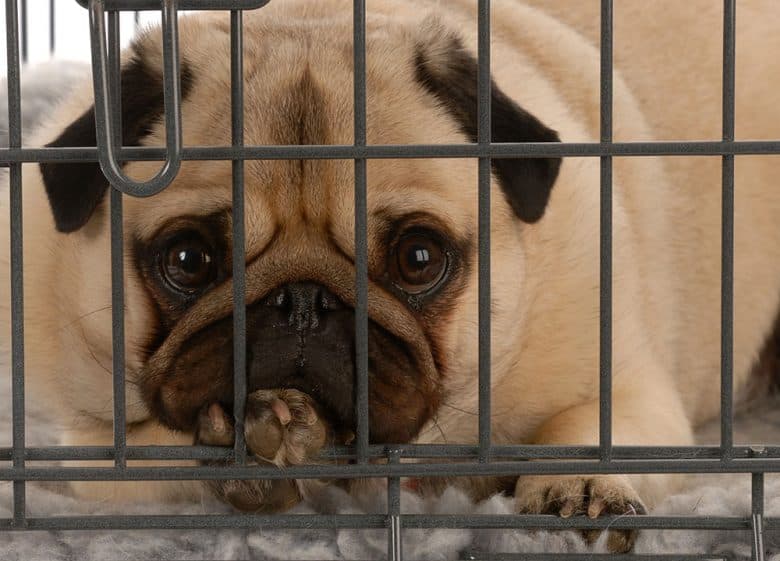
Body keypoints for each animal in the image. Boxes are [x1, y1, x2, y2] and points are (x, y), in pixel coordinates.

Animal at [1, 0, 780, 552]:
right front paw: (256, 448)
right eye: (189, 260)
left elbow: (589, 430)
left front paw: (581, 484)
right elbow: (157, 451)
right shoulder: (87, 453)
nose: (302, 302)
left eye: (418, 259)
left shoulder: (630, 389)